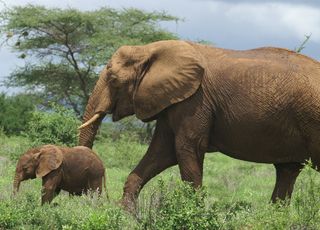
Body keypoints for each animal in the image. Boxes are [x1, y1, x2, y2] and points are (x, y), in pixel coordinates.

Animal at [79, 39, 320, 208]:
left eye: (113, 80)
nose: (98, 201)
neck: (149, 49)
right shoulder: (174, 100)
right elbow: (161, 153)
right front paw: (127, 214)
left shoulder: (195, 100)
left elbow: (187, 148)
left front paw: (194, 211)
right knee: (287, 170)